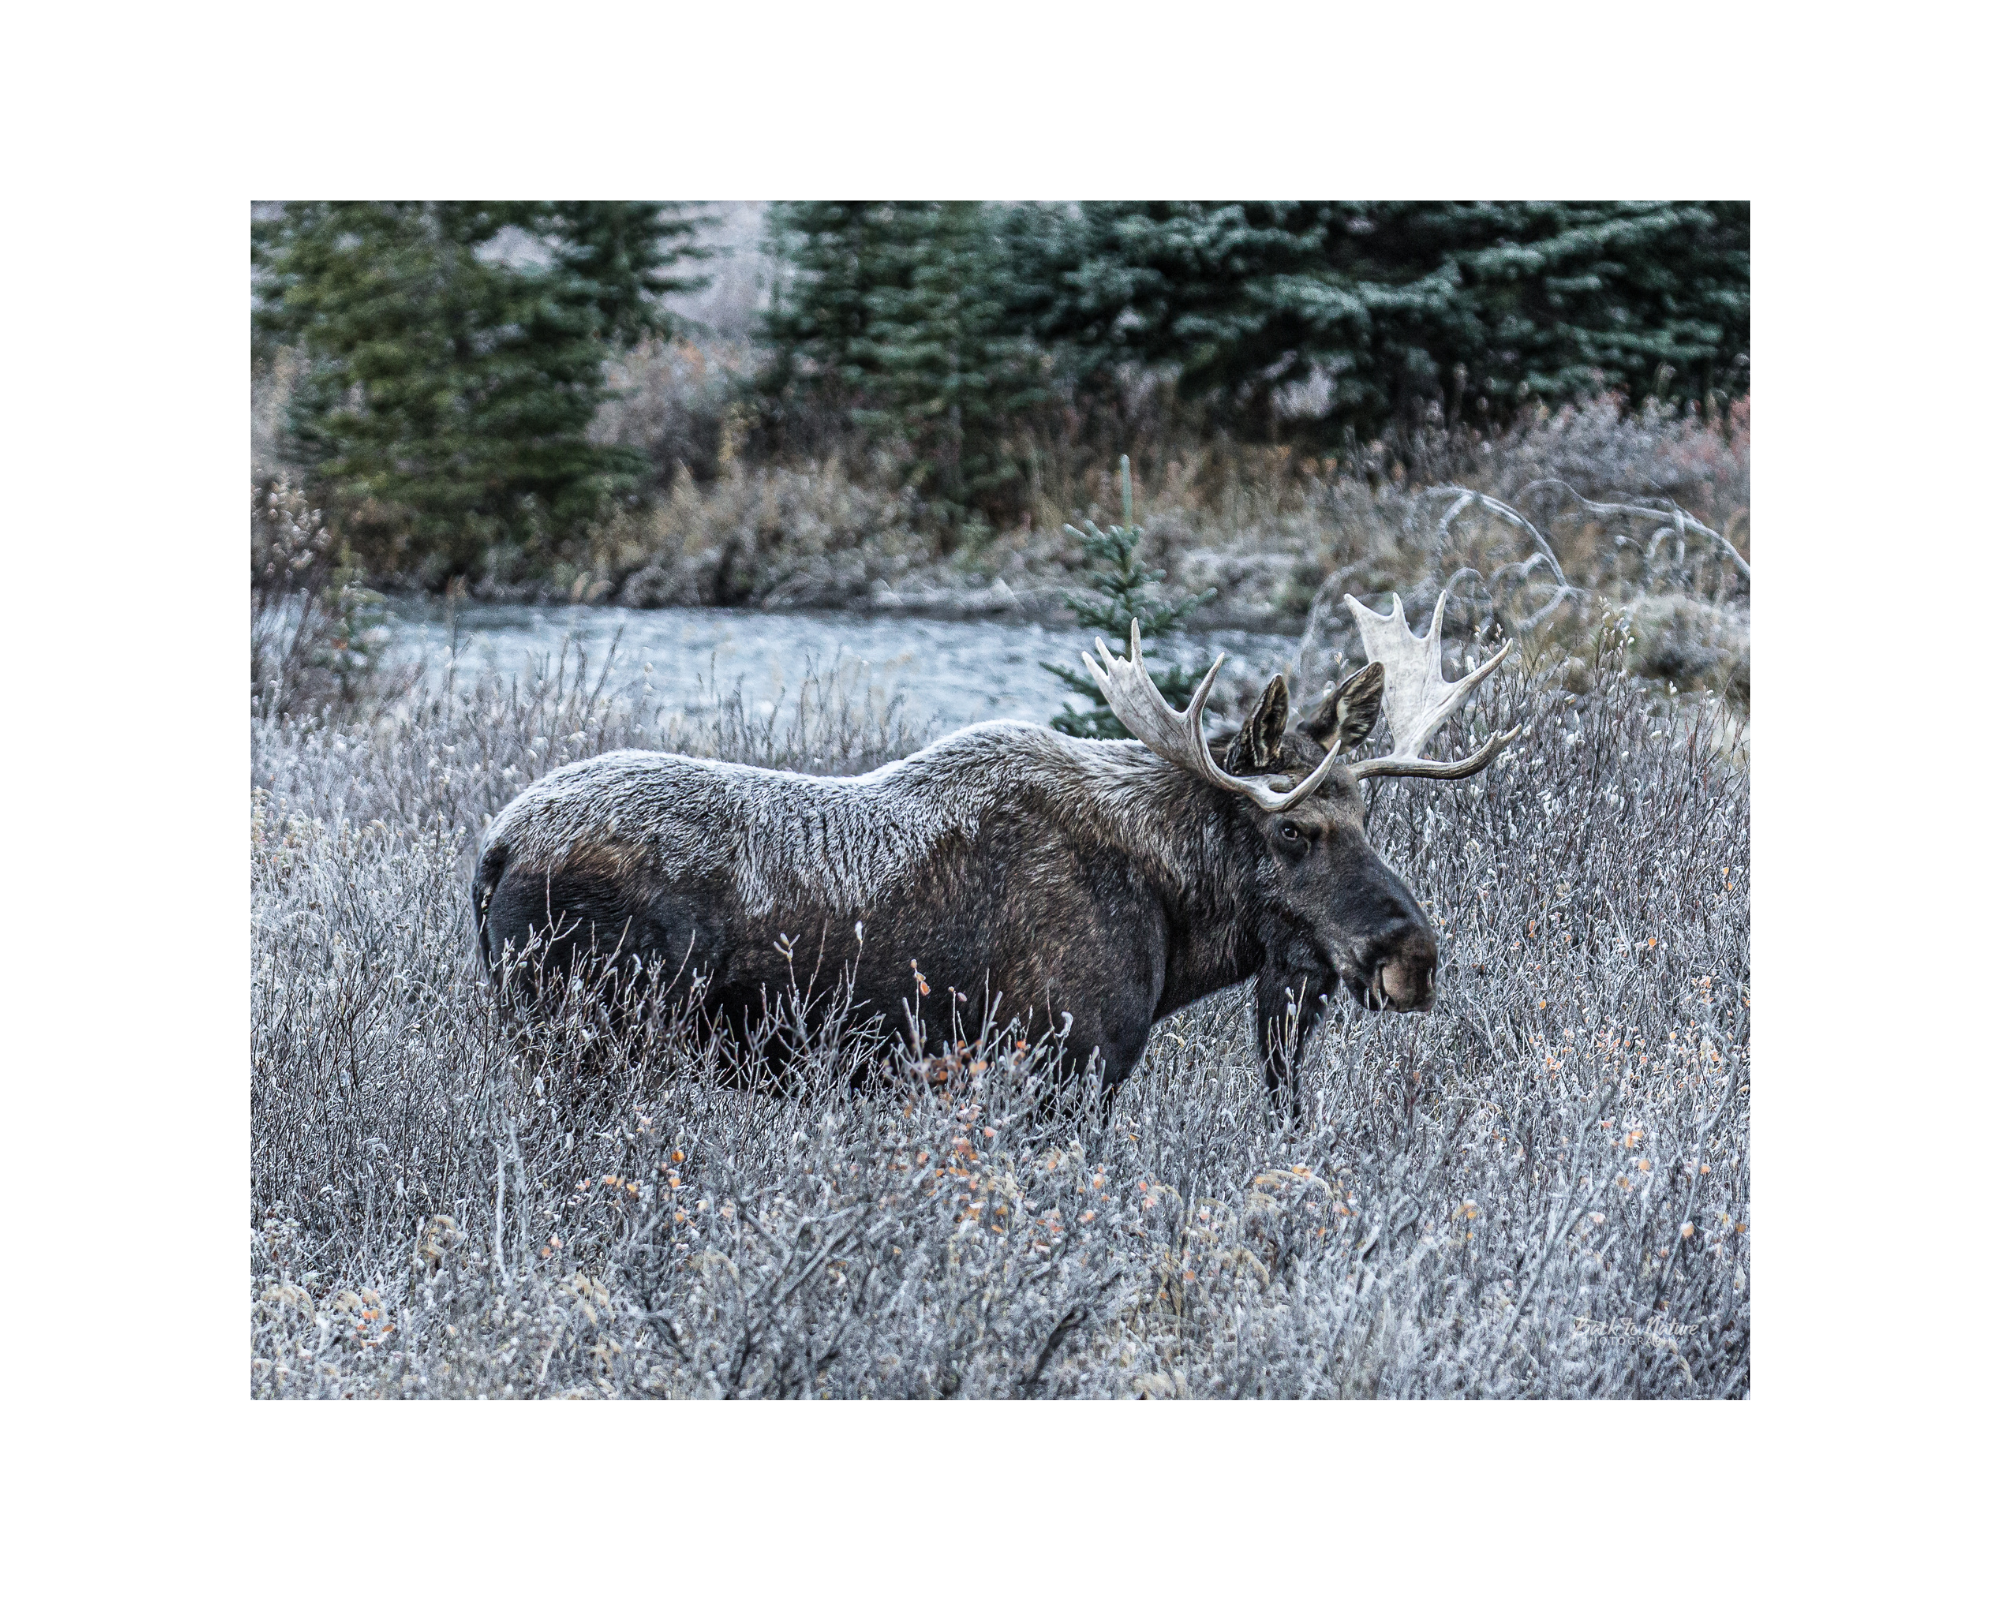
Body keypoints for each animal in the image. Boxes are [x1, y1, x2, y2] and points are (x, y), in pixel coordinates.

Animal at [476, 592, 1520, 1104]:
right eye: (1293, 826)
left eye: (1369, 817)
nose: (1413, 954)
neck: (1175, 916)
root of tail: (492, 848)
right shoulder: (1070, 1063)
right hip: (588, 1038)